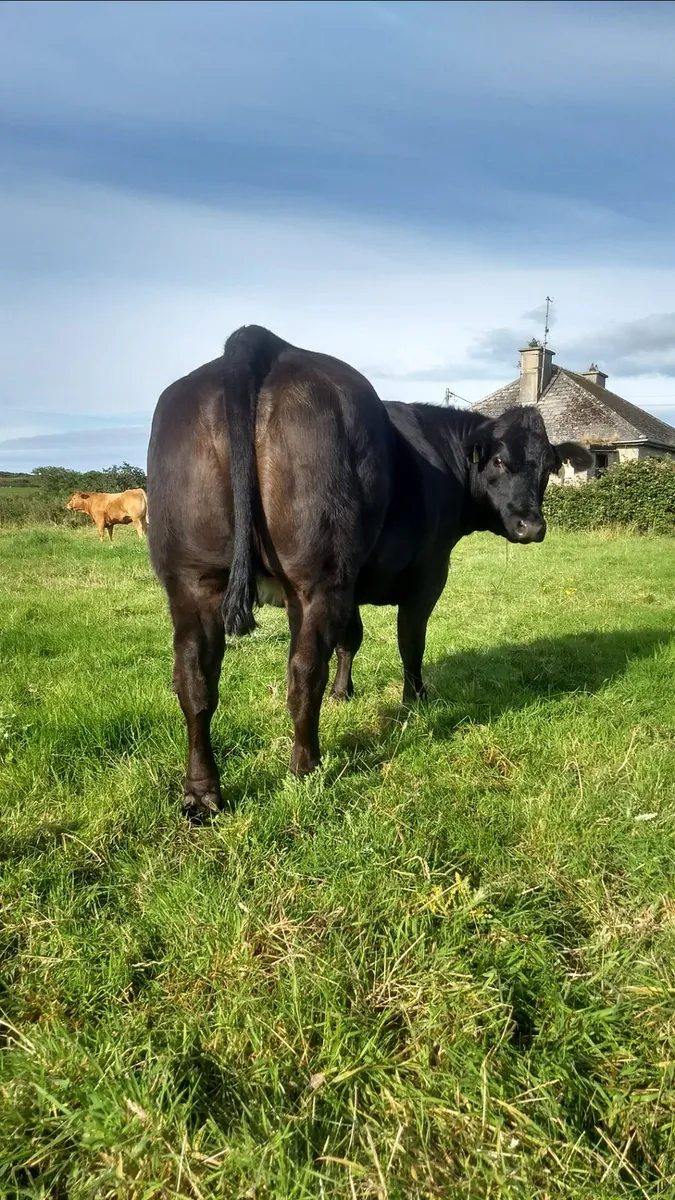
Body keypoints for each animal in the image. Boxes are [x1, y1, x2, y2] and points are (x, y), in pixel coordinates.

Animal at [147, 325, 593, 819]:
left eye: (549, 466)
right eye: (498, 461)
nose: (531, 526)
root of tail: (262, 343)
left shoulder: (352, 583)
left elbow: (351, 638)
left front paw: (345, 693)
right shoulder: (427, 572)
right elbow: (410, 640)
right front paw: (414, 699)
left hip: (191, 578)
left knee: (194, 678)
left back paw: (202, 794)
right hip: (317, 575)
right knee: (303, 670)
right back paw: (306, 766)